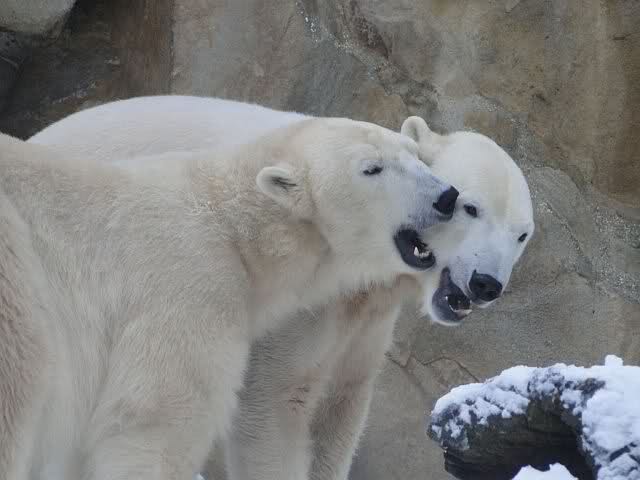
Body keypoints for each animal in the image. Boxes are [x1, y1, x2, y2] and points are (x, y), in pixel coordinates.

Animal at [29, 96, 534, 480]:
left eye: (522, 235)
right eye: (471, 207)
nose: (486, 284)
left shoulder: (367, 319)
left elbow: (341, 404)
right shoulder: (294, 312)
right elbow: (274, 405)